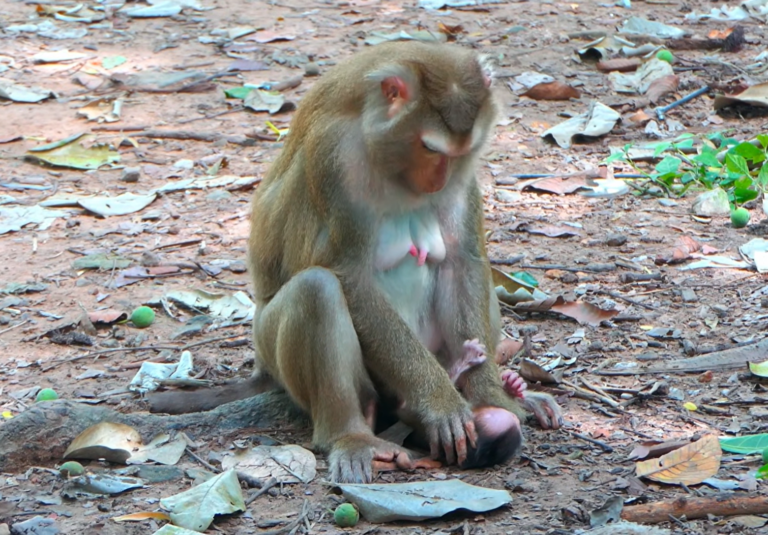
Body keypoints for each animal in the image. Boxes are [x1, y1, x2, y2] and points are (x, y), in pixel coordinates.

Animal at [148, 41, 563, 483]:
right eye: (429, 147)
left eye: (459, 153)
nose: (438, 181)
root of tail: (262, 368)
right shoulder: (335, 157)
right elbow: (350, 276)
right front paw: (441, 403)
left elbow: (461, 262)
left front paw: (491, 396)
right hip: (279, 353)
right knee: (317, 290)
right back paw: (351, 432)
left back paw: (503, 386)